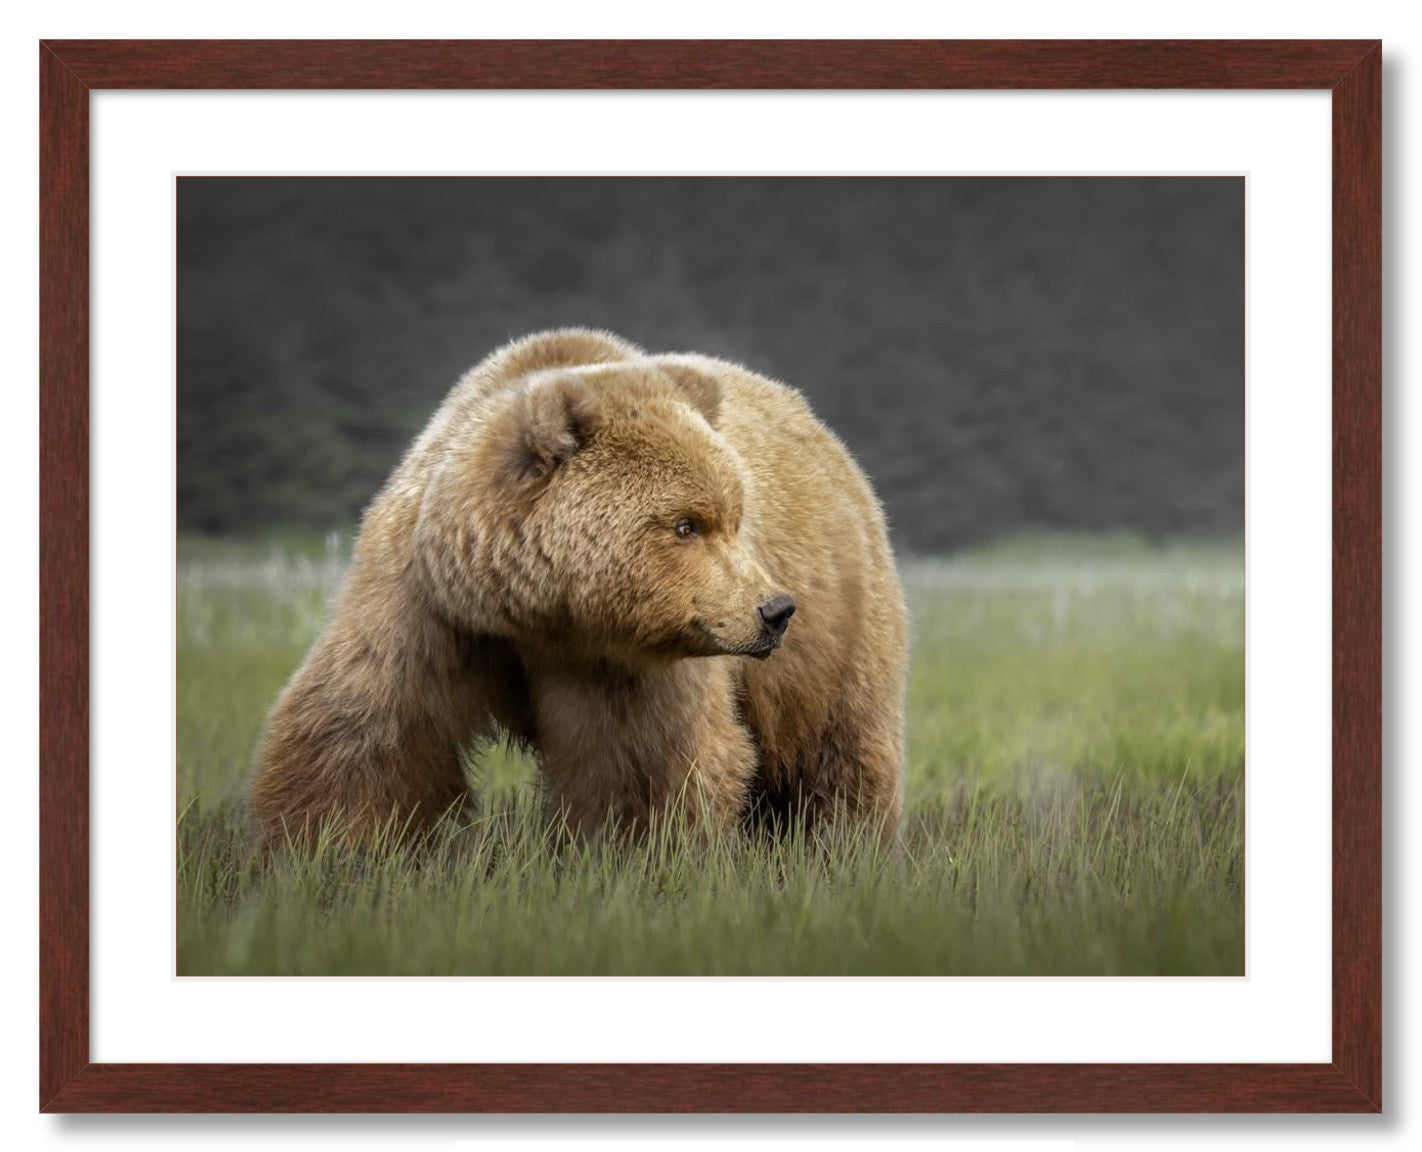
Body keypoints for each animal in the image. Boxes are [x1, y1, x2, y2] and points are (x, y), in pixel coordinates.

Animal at [249, 328, 908, 850]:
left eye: (733, 519)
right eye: (686, 525)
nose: (774, 609)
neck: (533, 612)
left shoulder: (624, 661)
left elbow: (643, 762)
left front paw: (634, 854)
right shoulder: (427, 605)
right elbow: (365, 731)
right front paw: (327, 850)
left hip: (841, 628)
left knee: (839, 749)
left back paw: (843, 845)